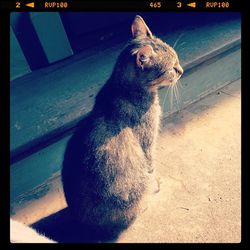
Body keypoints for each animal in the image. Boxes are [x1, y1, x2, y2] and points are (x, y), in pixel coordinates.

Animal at [62, 14, 184, 239]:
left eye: (177, 59)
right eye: (171, 67)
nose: (181, 70)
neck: (123, 89)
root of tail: (85, 228)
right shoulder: (147, 145)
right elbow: (151, 166)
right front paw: (156, 184)